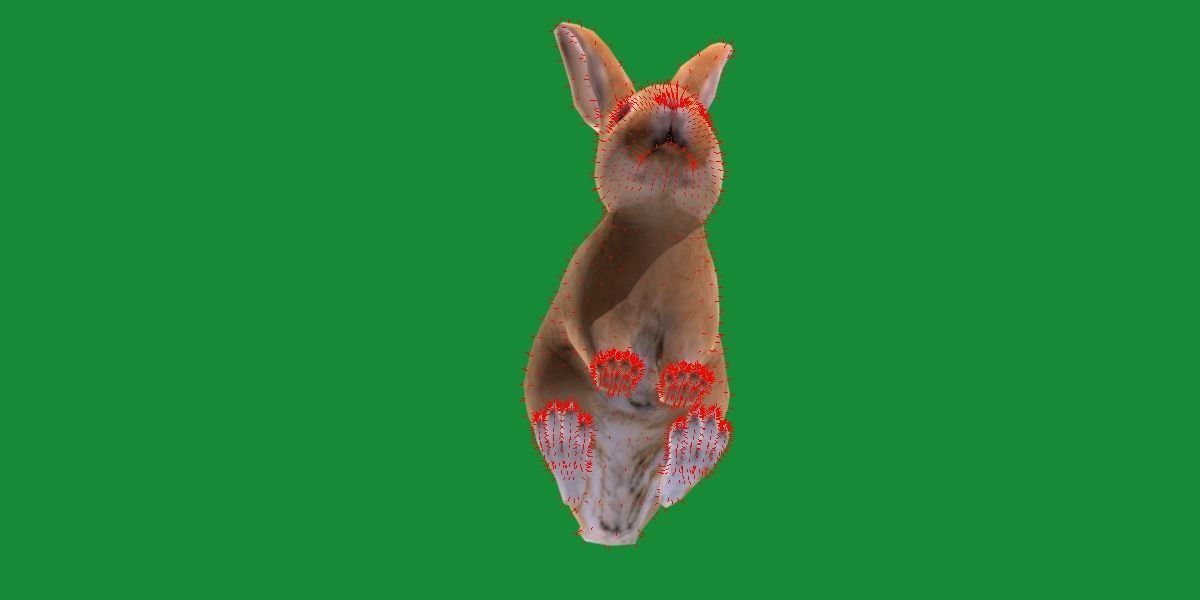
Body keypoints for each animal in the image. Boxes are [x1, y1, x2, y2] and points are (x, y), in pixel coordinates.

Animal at [525, 22, 734, 546]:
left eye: (702, 111)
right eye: (621, 114)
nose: (673, 103)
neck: (657, 222)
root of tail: (611, 526)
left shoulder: (699, 310)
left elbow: (694, 341)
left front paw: (680, 382)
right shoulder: (592, 295)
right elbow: (595, 329)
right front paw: (619, 371)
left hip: (714, 400)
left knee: (670, 482)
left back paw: (698, 441)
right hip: (547, 378)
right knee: (569, 476)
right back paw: (565, 432)